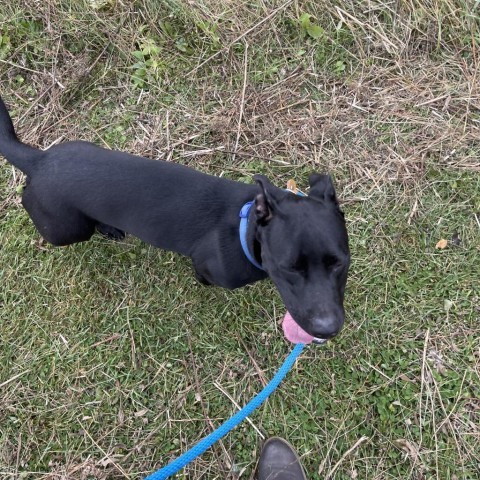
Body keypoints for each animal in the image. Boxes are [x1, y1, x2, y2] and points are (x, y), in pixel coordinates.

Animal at [1, 94, 350, 342]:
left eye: (340, 263)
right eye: (289, 268)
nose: (327, 329)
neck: (247, 226)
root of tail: (39, 160)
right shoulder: (211, 266)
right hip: (64, 229)